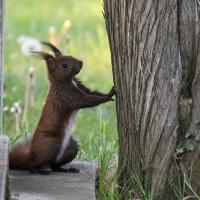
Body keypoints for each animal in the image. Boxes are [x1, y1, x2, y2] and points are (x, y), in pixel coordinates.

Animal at [9, 41, 115, 173]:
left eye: (69, 55)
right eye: (64, 65)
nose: (81, 62)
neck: (63, 82)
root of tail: (30, 154)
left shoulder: (79, 85)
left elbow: (92, 93)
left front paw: (108, 93)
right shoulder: (67, 97)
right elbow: (88, 100)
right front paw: (109, 95)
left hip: (71, 147)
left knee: (54, 165)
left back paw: (67, 169)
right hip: (50, 143)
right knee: (34, 164)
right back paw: (39, 171)